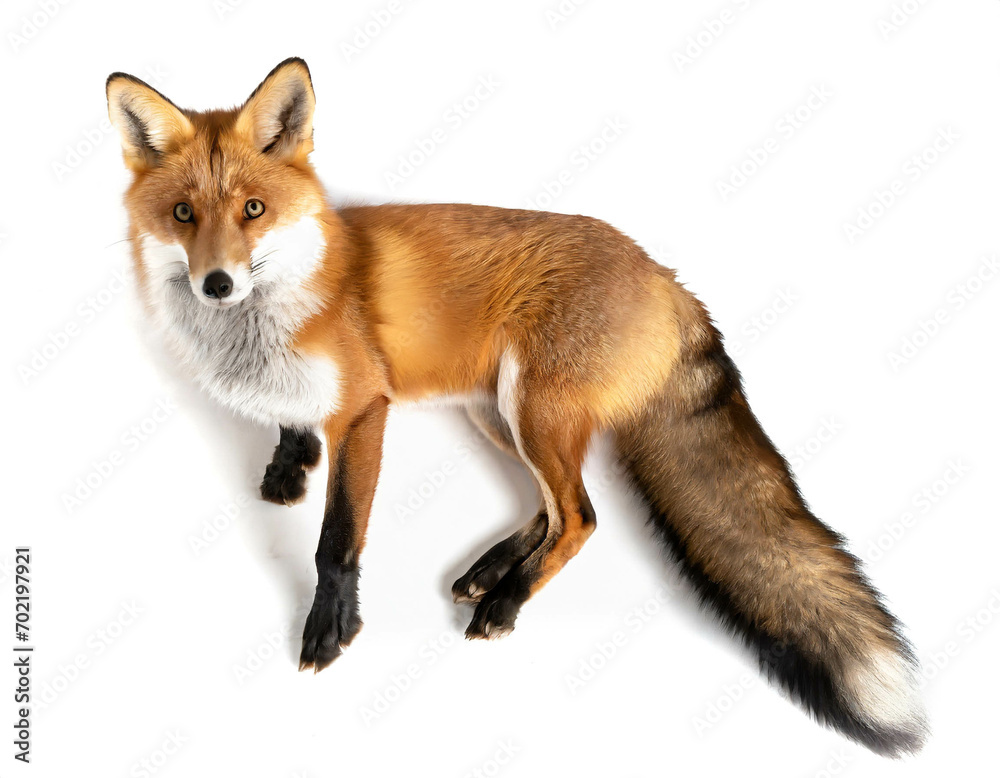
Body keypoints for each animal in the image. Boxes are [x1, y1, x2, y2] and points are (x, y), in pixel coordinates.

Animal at [106, 58, 928, 756]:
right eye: (182, 214)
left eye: (253, 210)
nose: (217, 284)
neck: (270, 315)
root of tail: (664, 274)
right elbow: (291, 423)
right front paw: (289, 462)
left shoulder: (366, 410)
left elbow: (336, 539)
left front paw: (332, 629)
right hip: (499, 413)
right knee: (556, 505)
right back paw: (493, 569)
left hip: (532, 409)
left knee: (582, 517)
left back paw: (506, 602)